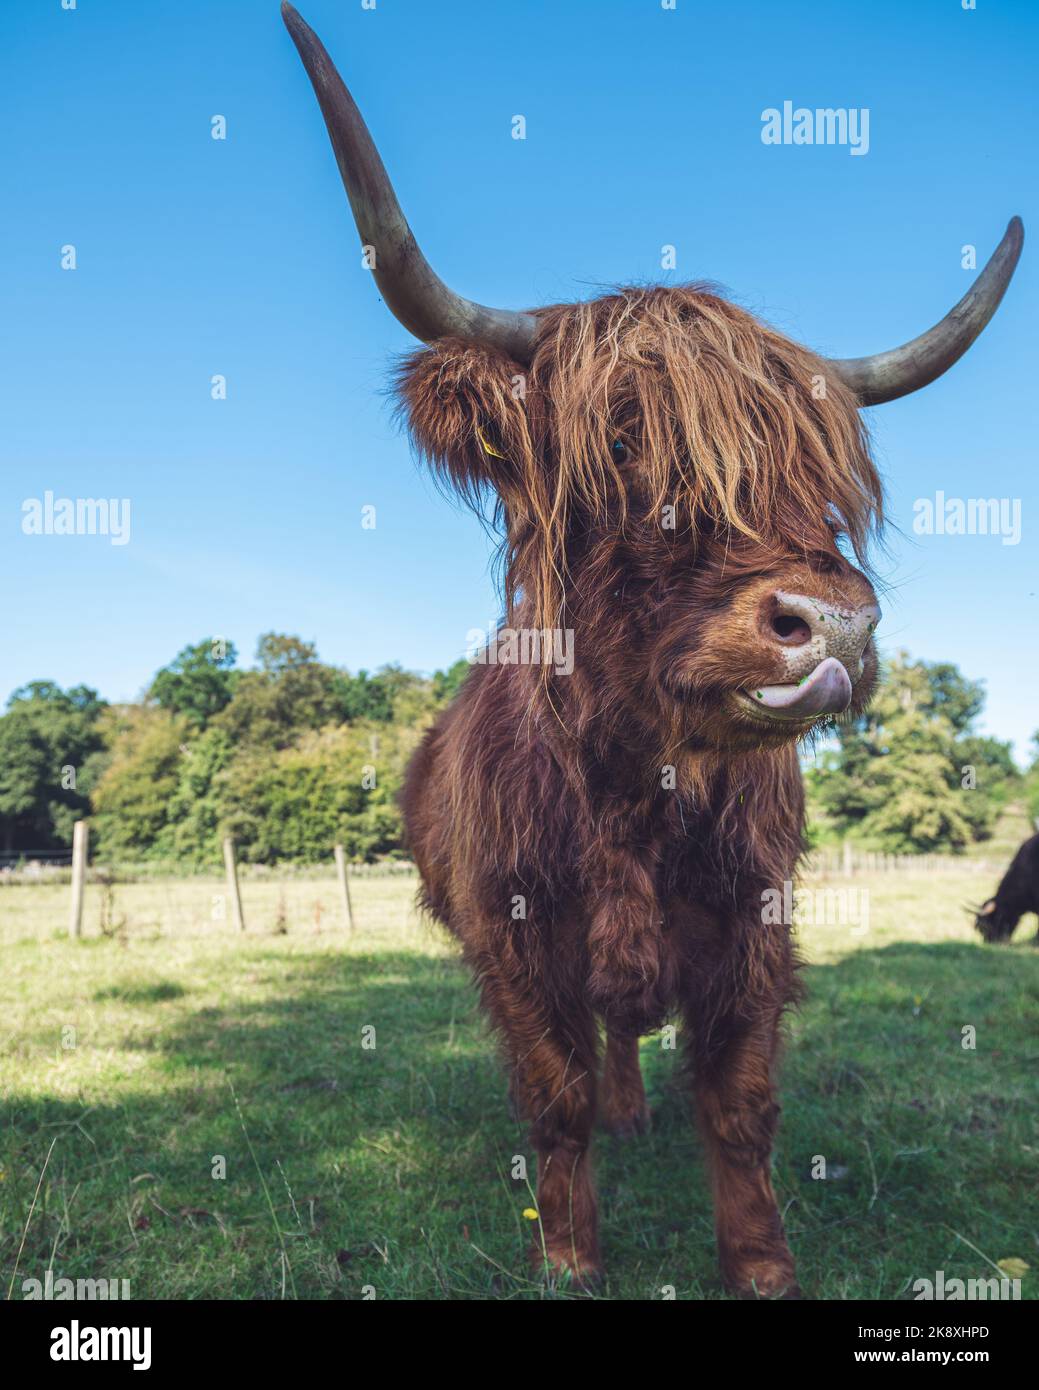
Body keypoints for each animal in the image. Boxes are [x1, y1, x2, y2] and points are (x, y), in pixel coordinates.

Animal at [282, 3, 1023, 1296]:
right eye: (624, 446)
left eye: (826, 474)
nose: (831, 623)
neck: (635, 783)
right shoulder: (513, 941)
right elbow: (555, 1094)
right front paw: (570, 1257)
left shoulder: (753, 931)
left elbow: (738, 1103)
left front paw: (764, 1265)